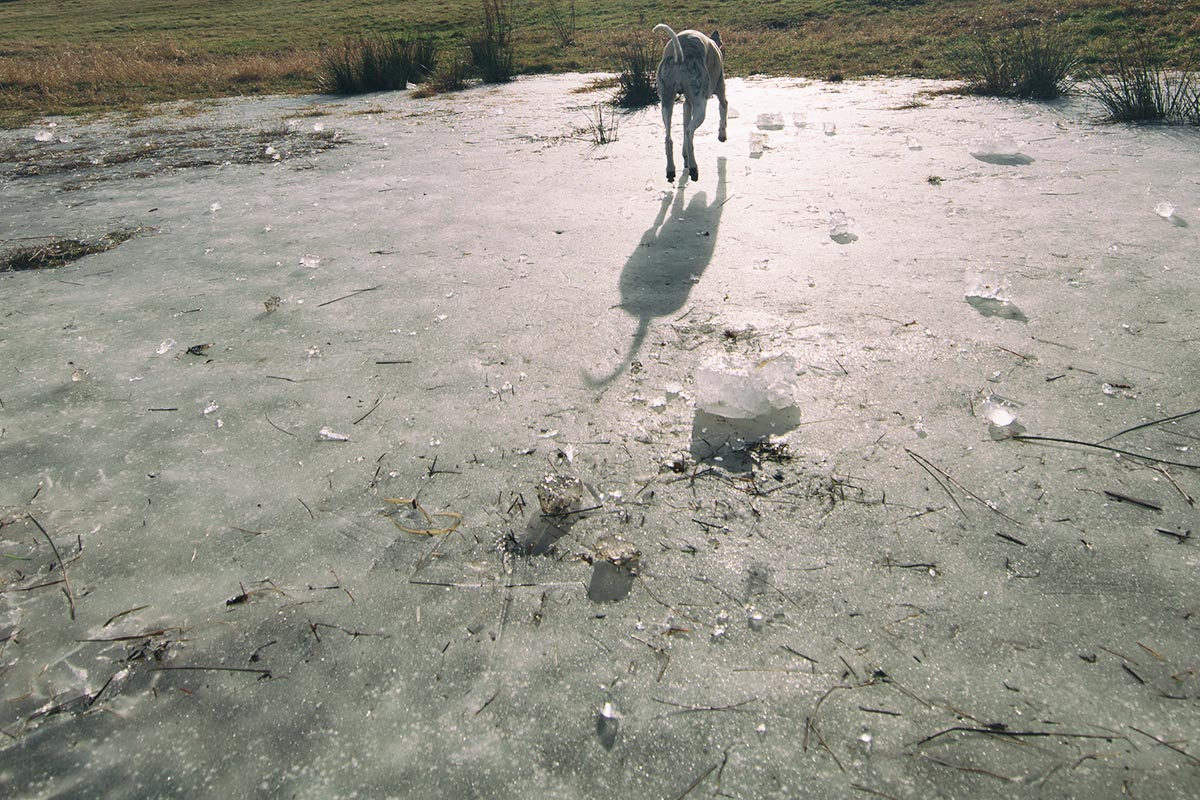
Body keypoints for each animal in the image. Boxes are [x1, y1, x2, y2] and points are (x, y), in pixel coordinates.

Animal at [652, 24, 724, 183]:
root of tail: (680, 57)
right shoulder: (720, 89)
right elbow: (724, 108)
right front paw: (722, 135)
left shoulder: (687, 105)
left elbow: (685, 121)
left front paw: (685, 156)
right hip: (700, 105)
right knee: (689, 132)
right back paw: (693, 168)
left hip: (666, 101)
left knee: (669, 137)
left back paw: (671, 170)